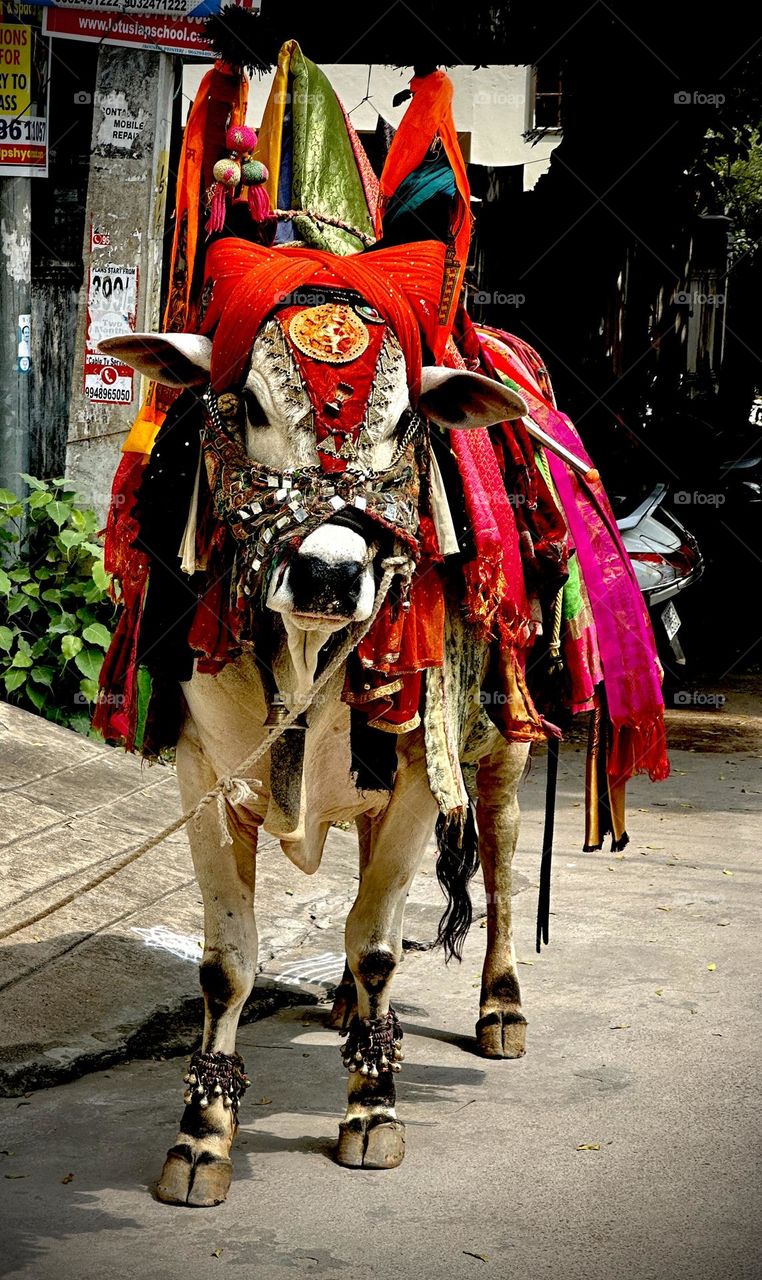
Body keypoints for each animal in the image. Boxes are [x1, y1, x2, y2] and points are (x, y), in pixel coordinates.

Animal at [103, 322, 530, 1208]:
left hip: (503, 740)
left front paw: (373, 1115)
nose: (329, 575)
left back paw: (501, 1008)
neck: (303, 662)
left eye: (403, 421)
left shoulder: (416, 777)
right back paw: (346, 1009)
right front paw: (201, 1138)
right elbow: (227, 966)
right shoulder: (205, 776)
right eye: (251, 406)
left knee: (501, 865)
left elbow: (377, 947)